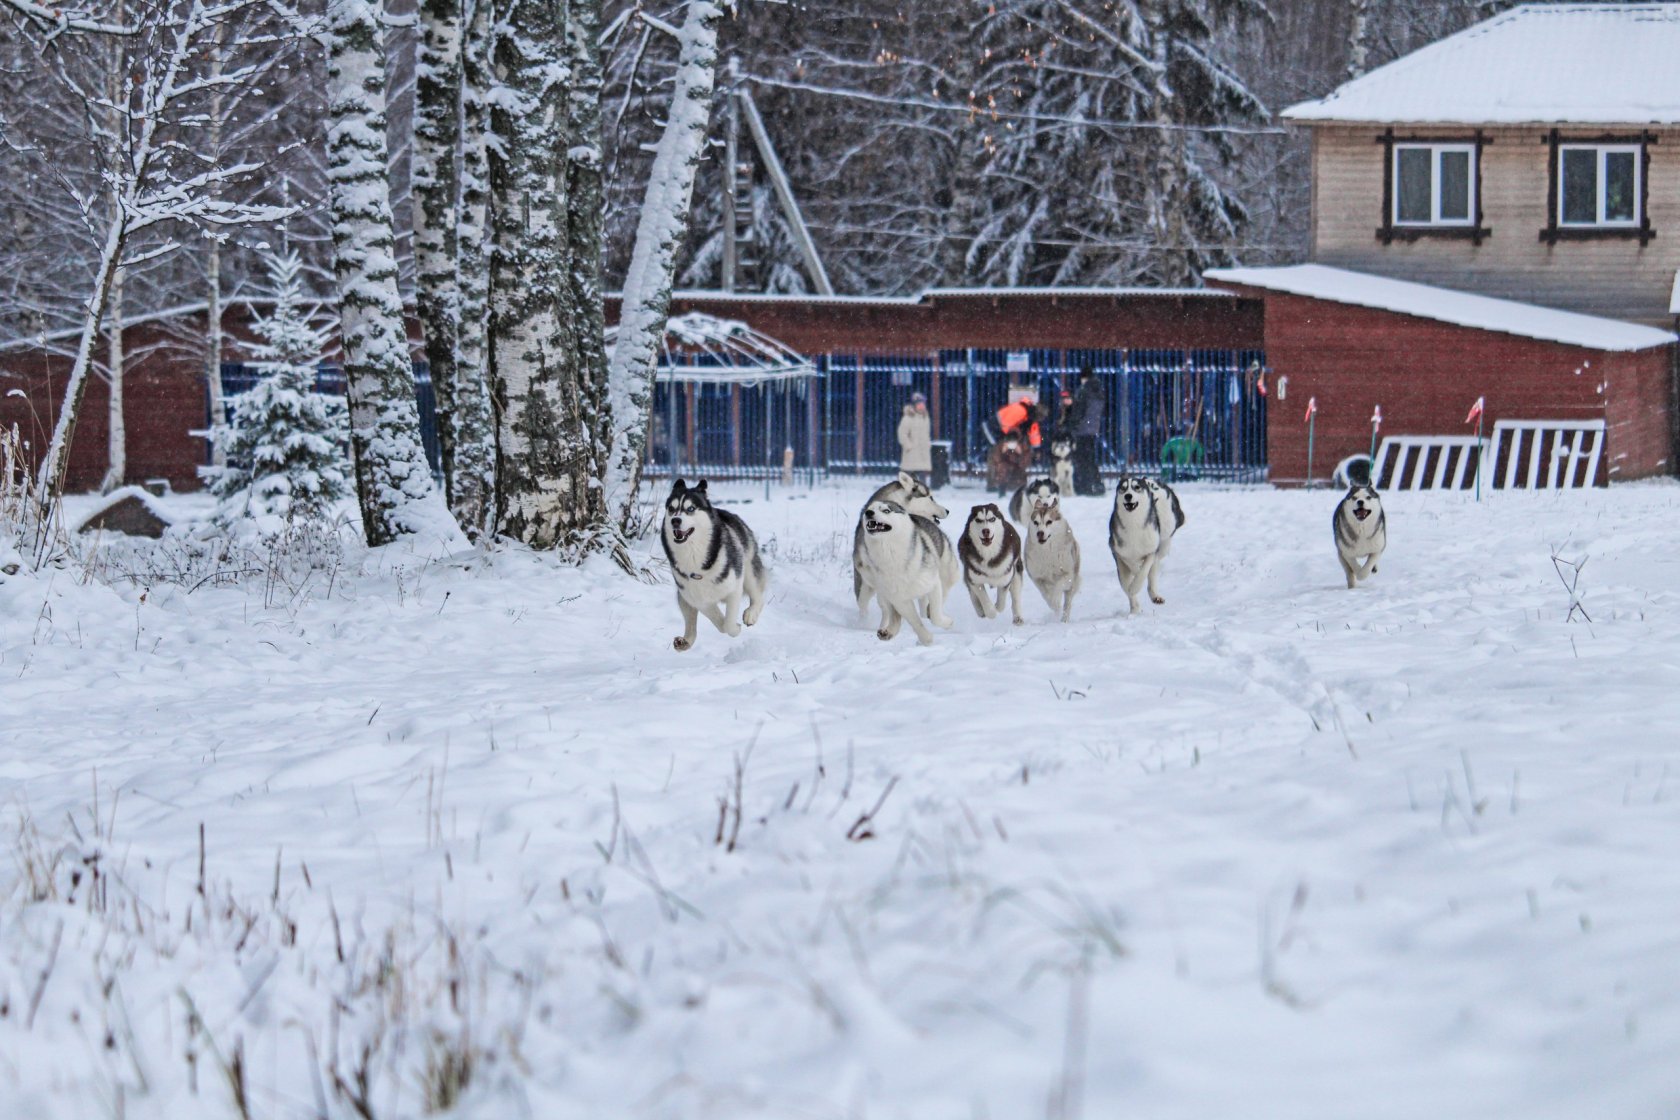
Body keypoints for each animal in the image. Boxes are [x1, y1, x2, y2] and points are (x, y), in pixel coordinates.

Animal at [661, 476, 769, 651]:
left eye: (690, 508)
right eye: (671, 508)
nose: (675, 520)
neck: (694, 558)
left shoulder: (734, 587)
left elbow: (728, 625)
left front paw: (736, 628)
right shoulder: (698, 598)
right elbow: (719, 622)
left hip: (748, 570)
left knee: (758, 595)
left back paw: (751, 614)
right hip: (683, 597)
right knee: (691, 623)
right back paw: (685, 641)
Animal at [853, 497, 960, 644]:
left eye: (886, 510)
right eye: (870, 509)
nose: (868, 513)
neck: (891, 555)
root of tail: (916, 515)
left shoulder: (932, 583)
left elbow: (935, 615)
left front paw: (947, 622)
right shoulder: (899, 599)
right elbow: (915, 621)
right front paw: (926, 639)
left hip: (948, 572)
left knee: (943, 591)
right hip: (876, 590)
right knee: (889, 614)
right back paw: (887, 631)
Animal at [1108, 473, 1162, 614]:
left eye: (1136, 487)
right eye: (1123, 488)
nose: (1128, 496)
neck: (1134, 524)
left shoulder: (1151, 550)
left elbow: (1143, 570)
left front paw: (1135, 586)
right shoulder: (1118, 552)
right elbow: (1127, 581)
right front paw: (1132, 592)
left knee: (1151, 579)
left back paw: (1155, 596)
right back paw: (1135, 608)